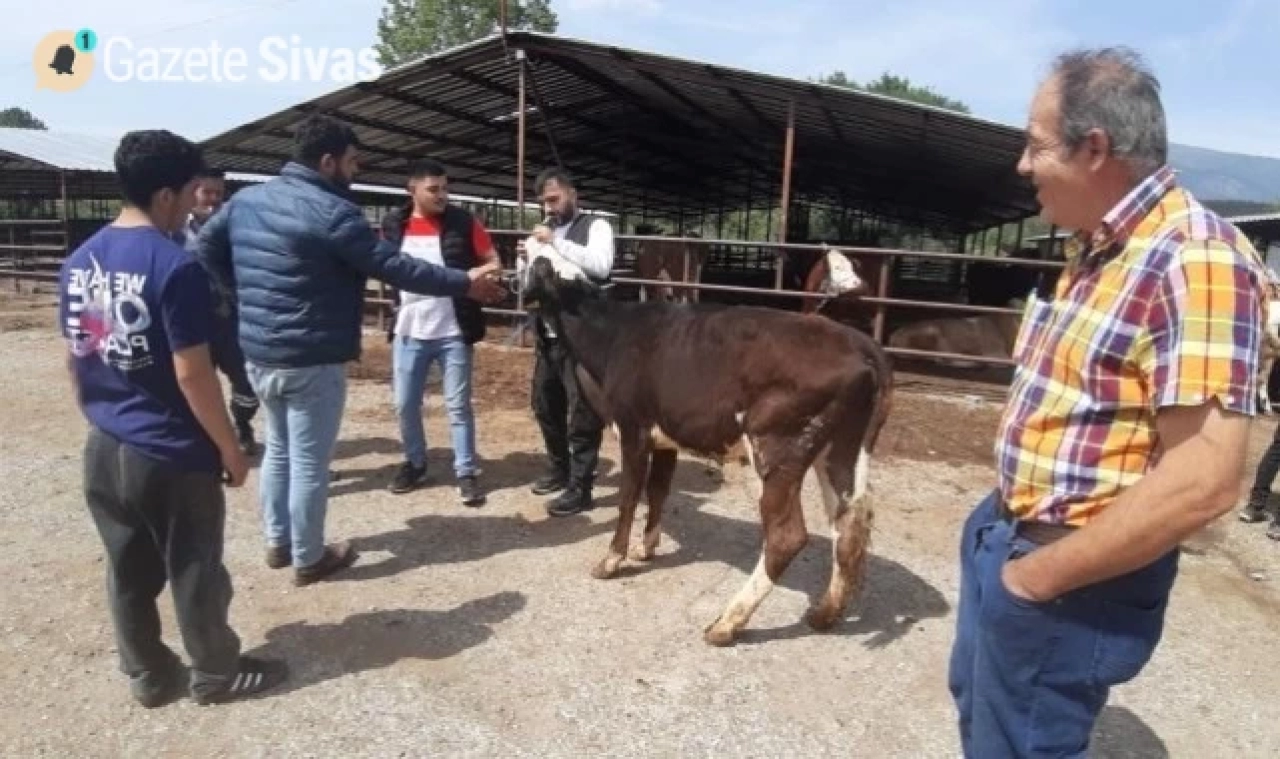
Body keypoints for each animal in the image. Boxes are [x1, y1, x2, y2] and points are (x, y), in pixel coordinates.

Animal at [514, 244, 896, 645]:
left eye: (532, 261)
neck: (613, 336)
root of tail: (859, 342)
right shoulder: (665, 436)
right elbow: (658, 490)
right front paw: (646, 548)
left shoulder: (633, 429)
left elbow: (629, 497)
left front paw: (612, 560)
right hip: (841, 452)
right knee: (850, 522)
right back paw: (825, 614)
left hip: (778, 450)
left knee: (786, 536)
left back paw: (727, 623)